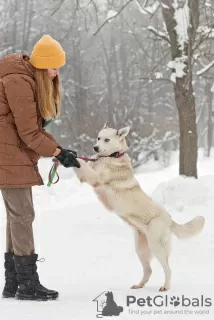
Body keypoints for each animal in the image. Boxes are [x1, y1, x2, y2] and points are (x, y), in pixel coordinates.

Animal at [73, 124, 204, 292]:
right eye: (98, 138)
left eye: (106, 140)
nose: (95, 148)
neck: (112, 156)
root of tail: (169, 219)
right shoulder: (84, 176)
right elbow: (81, 166)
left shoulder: (94, 178)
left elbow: (82, 164)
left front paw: (70, 155)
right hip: (140, 250)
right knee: (148, 270)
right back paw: (139, 285)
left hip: (157, 246)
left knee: (168, 269)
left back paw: (165, 287)